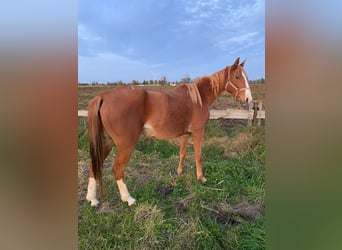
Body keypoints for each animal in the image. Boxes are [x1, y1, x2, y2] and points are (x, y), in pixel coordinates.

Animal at [85, 57, 251, 206]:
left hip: (106, 142)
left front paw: (180, 172)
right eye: (237, 76)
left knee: (94, 166)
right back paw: (128, 199)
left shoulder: (185, 134)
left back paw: (92, 199)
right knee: (118, 169)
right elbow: (198, 155)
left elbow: (182, 153)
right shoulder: (198, 132)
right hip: (125, 145)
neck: (198, 98)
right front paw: (201, 177)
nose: (248, 99)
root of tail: (102, 97)